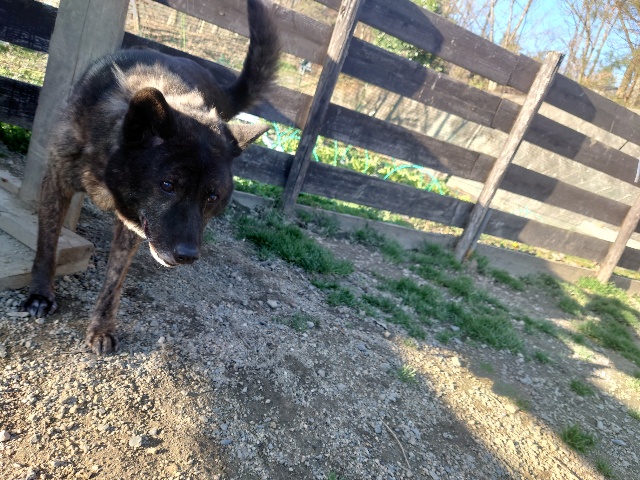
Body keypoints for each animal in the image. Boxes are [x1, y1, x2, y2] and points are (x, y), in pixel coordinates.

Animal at [23, 0, 280, 354]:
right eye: (168, 186)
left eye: (212, 196)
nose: (187, 255)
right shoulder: (57, 180)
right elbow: (47, 243)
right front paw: (40, 293)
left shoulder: (135, 224)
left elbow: (115, 279)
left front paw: (101, 327)